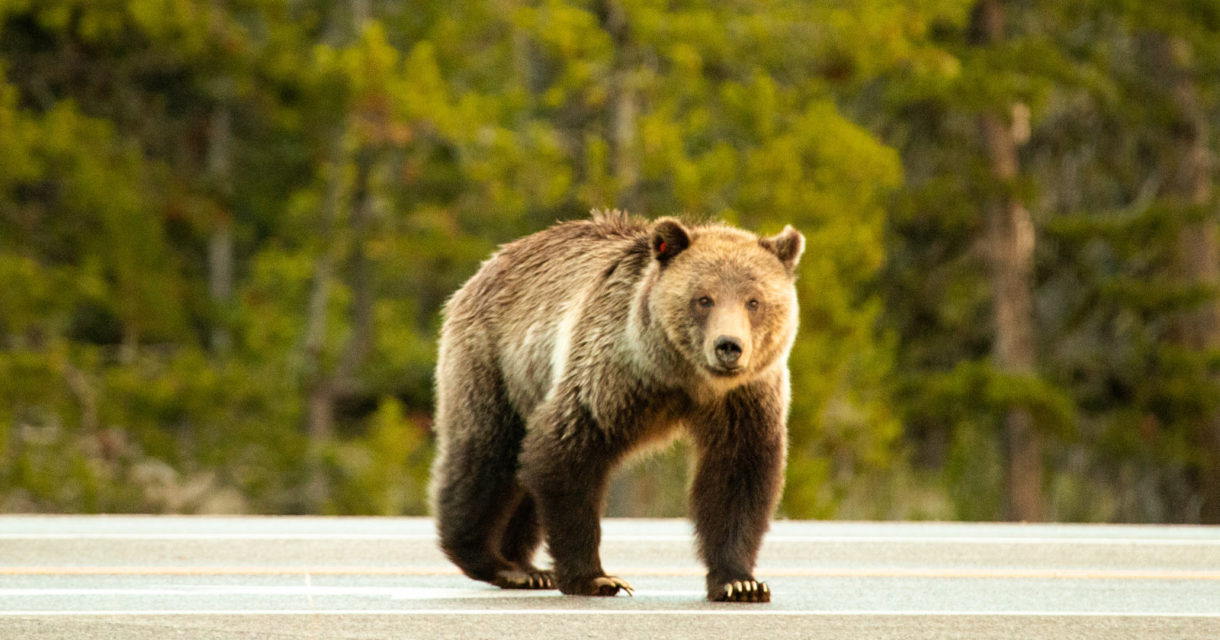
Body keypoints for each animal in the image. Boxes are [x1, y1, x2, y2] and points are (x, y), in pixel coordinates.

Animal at [429, 208, 800, 599]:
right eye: (703, 299)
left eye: (753, 301)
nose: (729, 346)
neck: (682, 376)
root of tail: (487, 266)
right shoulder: (612, 371)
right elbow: (566, 453)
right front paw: (596, 577)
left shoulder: (744, 398)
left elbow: (738, 475)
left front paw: (740, 582)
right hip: (495, 364)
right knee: (485, 457)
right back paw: (494, 561)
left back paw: (527, 567)